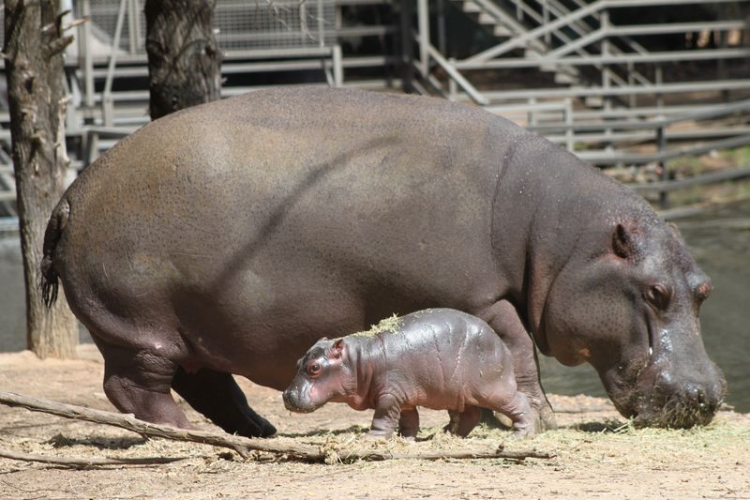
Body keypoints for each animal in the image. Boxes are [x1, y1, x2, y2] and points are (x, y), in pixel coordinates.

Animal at [282, 308, 536, 438]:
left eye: (314, 367)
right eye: (297, 361)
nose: (286, 395)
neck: (359, 359)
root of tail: (501, 343)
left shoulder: (389, 394)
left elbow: (382, 417)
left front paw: (371, 438)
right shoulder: (403, 398)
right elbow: (409, 419)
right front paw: (406, 438)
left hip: (493, 389)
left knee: (521, 403)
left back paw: (519, 435)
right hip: (459, 393)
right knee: (471, 415)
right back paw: (448, 435)